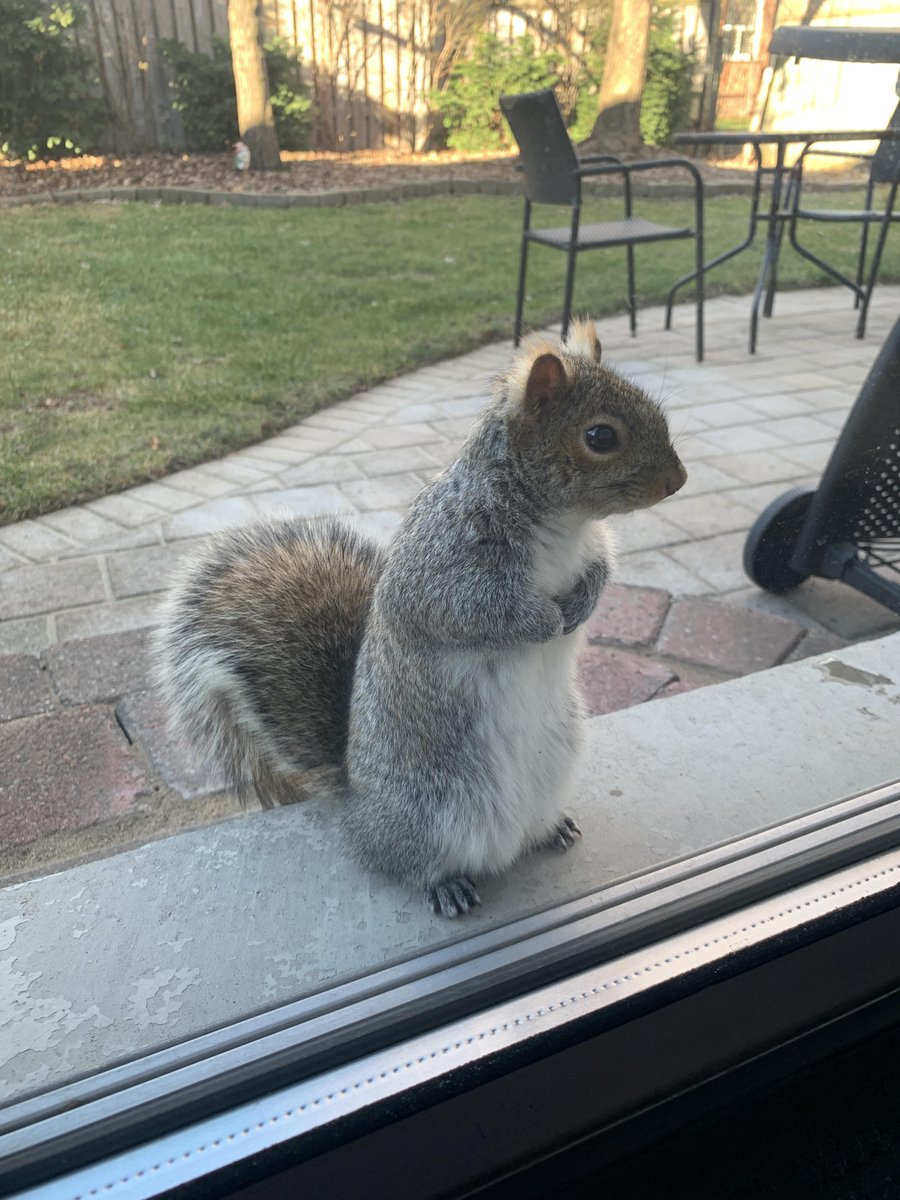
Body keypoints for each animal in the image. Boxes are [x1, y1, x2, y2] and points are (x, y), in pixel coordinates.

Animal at [155, 319, 686, 918]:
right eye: (600, 437)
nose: (679, 479)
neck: (563, 524)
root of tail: (358, 808)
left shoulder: (592, 548)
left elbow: (600, 571)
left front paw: (580, 604)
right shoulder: (439, 569)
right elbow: (470, 612)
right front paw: (544, 621)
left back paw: (551, 829)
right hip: (429, 812)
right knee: (408, 865)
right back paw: (446, 884)